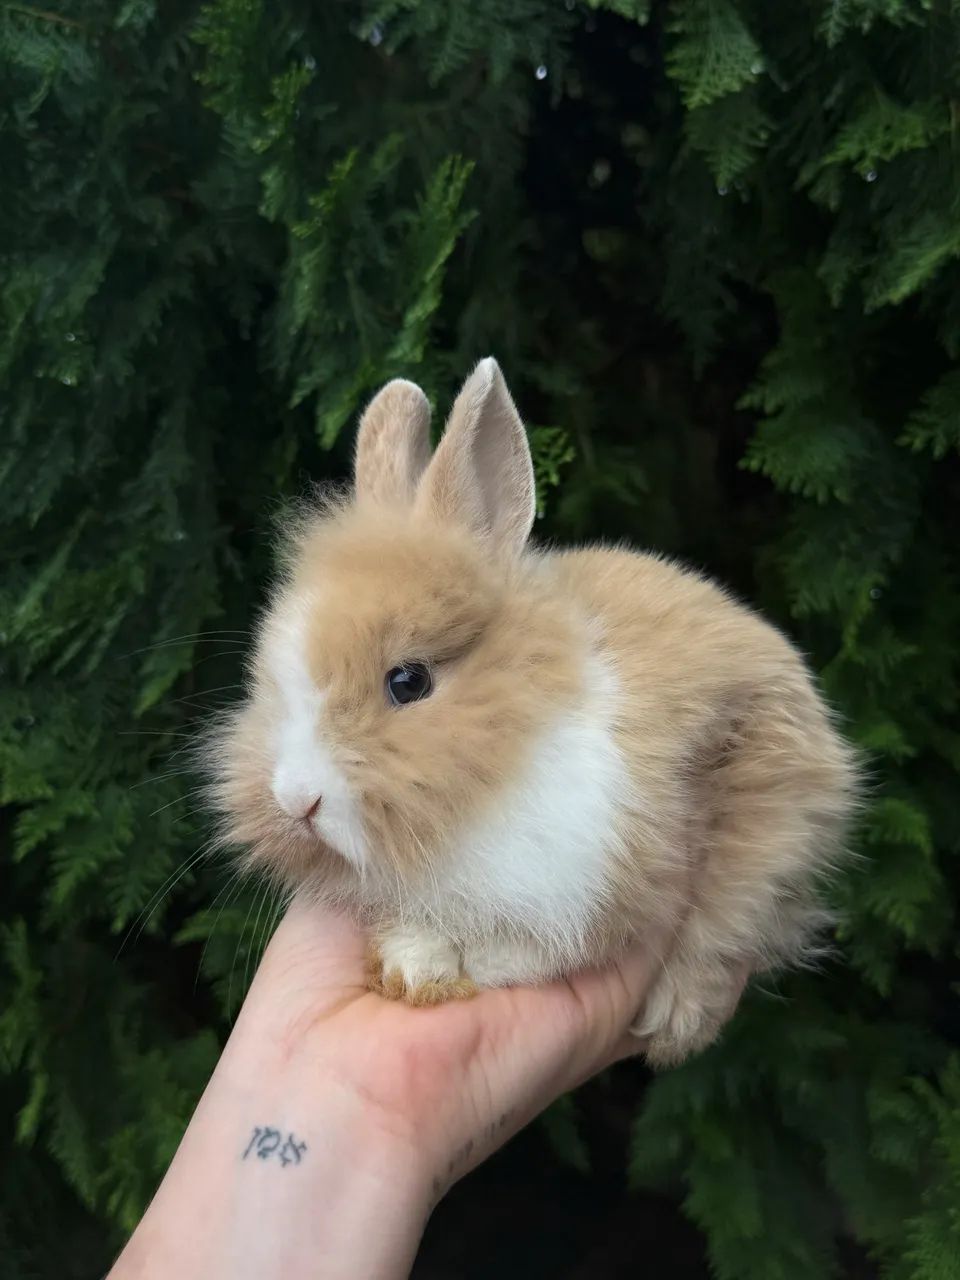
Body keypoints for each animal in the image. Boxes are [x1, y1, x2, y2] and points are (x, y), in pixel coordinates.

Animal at [210, 357, 858, 1067]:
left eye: (408, 682)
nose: (297, 800)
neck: (497, 775)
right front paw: (413, 963)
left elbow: (536, 952)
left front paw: (452, 963)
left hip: (772, 821)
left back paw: (674, 1020)